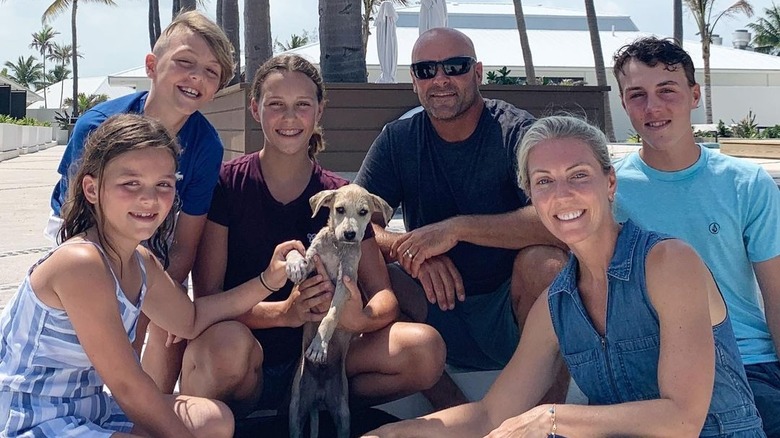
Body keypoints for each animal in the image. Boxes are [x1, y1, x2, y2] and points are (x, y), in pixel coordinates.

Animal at [286, 184, 394, 438]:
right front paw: (293, 264)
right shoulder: (312, 261)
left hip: (343, 414)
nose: (350, 234)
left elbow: (331, 315)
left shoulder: (345, 282)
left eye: (364, 212)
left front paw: (319, 345)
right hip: (296, 409)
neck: (337, 246)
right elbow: (298, 254)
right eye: (340, 209)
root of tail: (319, 398)